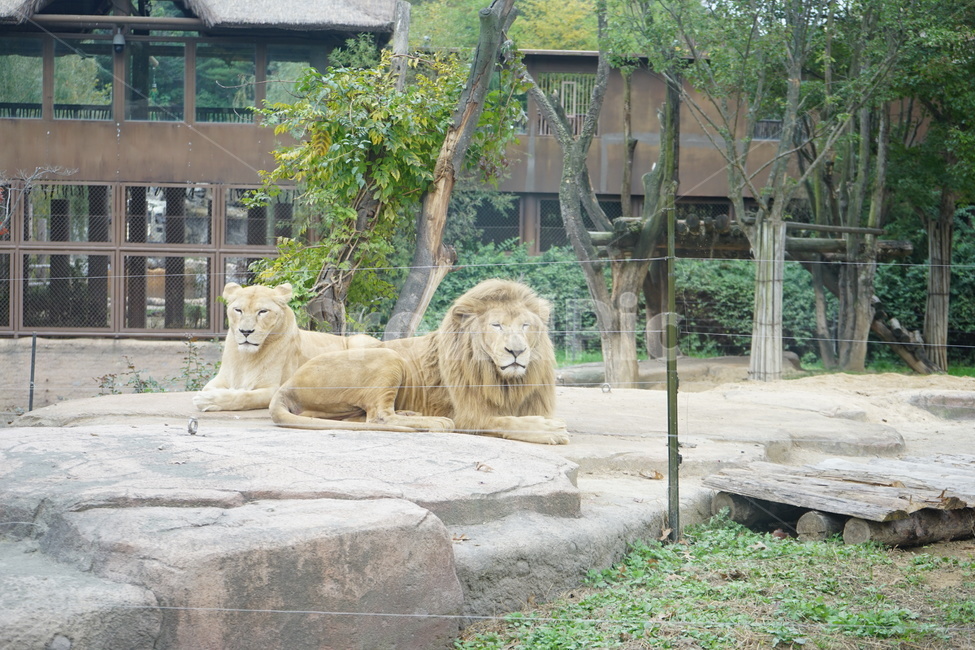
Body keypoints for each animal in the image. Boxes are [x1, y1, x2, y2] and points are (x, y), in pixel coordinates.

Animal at [193, 282, 379, 412]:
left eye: (263, 311)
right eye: (238, 310)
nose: (245, 331)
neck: (246, 357)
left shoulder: (275, 388)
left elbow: (244, 397)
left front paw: (208, 400)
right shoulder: (219, 380)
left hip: (359, 342)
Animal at [269, 279, 569, 445]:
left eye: (526, 325)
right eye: (496, 325)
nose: (516, 351)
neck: (506, 381)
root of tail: (287, 384)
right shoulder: (468, 414)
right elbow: (504, 421)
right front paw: (549, 429)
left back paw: (411, 415)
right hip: (389, 357)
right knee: (379, 417)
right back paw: (435, 422)